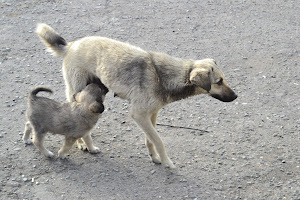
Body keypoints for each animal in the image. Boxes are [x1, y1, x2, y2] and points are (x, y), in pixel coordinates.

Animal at [35, 22, 237, 168]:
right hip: (78, 90)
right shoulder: (139, 114)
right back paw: (86, 144)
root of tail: (71, 45)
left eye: (223, 80)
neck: (163, 76)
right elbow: (159, 140)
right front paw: (167, 162)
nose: (236, 97)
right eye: (218, 82)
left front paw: (155, 157)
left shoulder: (151, 114)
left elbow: (151, 139)